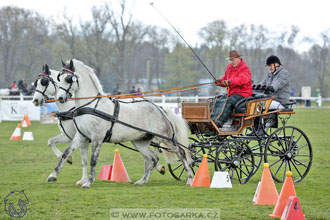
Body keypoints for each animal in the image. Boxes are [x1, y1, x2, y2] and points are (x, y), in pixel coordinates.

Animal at [48, 59, 193, 188]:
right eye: (59, 78)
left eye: (68, 79)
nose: (60, 98)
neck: (91, 105)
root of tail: (159, 108)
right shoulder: (81, 136)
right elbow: (66, 153)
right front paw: (52, 175)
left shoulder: (97, 137)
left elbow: (93, 160)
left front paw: (88, 182)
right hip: (140, 141)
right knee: (153, 159)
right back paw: (142, 181)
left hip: (166, 137)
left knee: (180, 152)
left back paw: (190, 179)